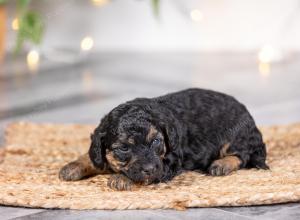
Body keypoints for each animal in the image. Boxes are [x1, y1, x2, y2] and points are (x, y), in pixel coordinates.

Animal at [58, 88, 268, 190]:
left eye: (155, 142)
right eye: (124, 148)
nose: (150, 168)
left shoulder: (171, 160)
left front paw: (121, 178)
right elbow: (94, 157)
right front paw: (73, 166)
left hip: (235, 135)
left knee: (243, 156)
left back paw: (221, 164)